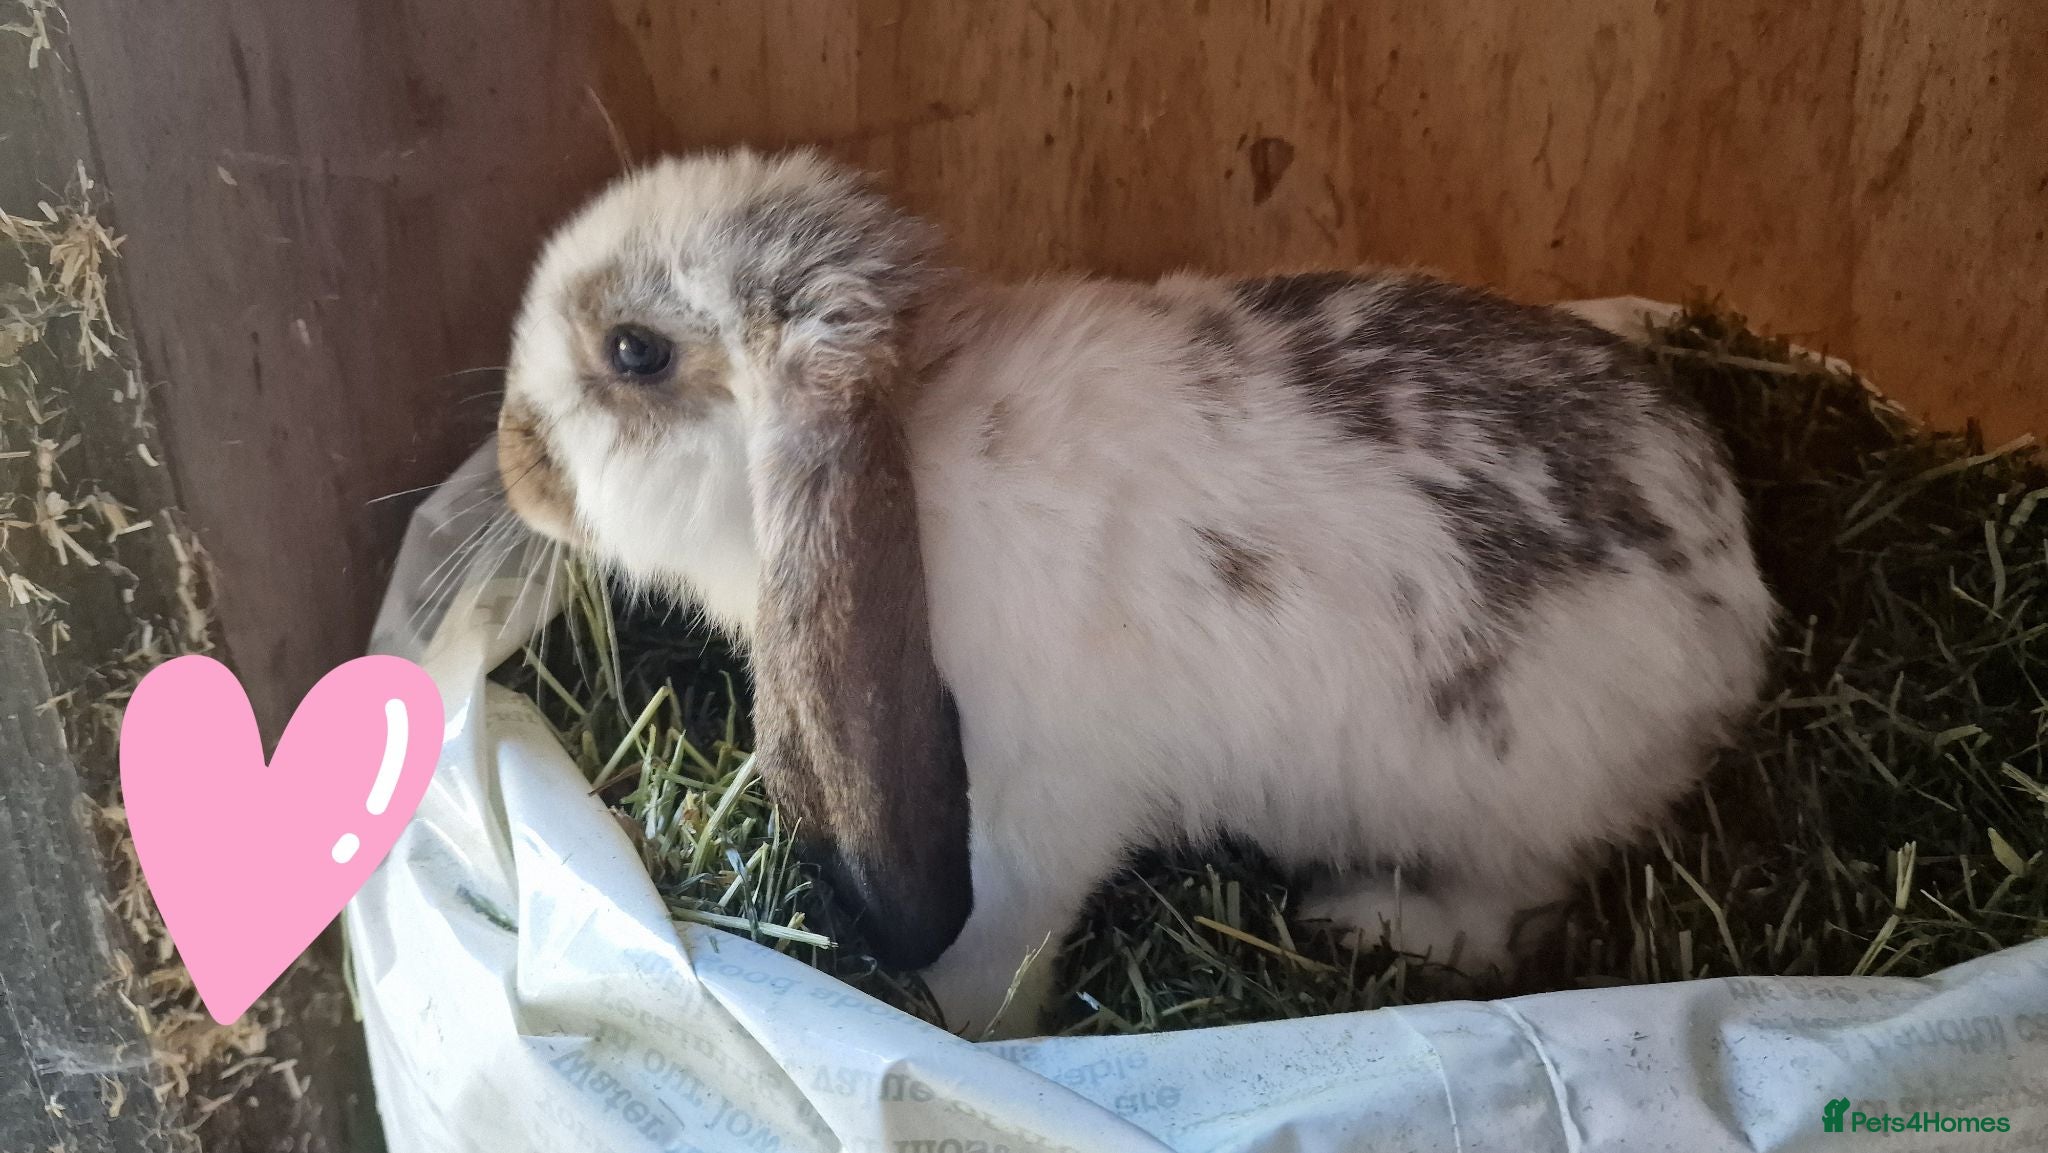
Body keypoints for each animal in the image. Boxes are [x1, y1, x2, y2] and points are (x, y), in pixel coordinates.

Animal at [493, 148, 1775, 1039]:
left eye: (634, 351)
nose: (516, 464)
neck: (911, 450)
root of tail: (1733, 585)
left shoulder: (1021, 827)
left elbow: (995, 953)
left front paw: (959, 1032)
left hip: (1507, 805)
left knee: (1511, 909)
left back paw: (1360, 917)